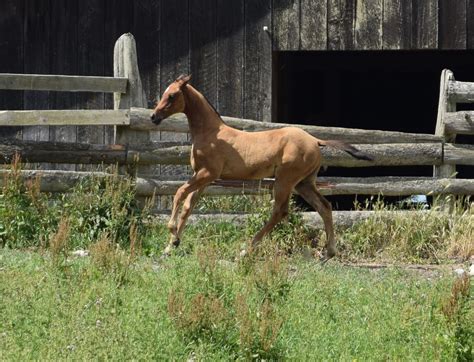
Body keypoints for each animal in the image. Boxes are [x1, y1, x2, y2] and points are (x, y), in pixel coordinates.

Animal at [150, 75, 372, 258]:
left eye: (171, 95)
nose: (154, 117)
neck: (211, 133)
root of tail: (316, 140)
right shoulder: (203, 178)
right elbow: (188, 206)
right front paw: (171, 245)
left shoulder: (207, 173)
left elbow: (179, 193)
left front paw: (172, 233)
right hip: (304, 183)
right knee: (324, 207)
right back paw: (329, 253)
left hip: (285, 180)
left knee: (280, 212)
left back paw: (246, 250)